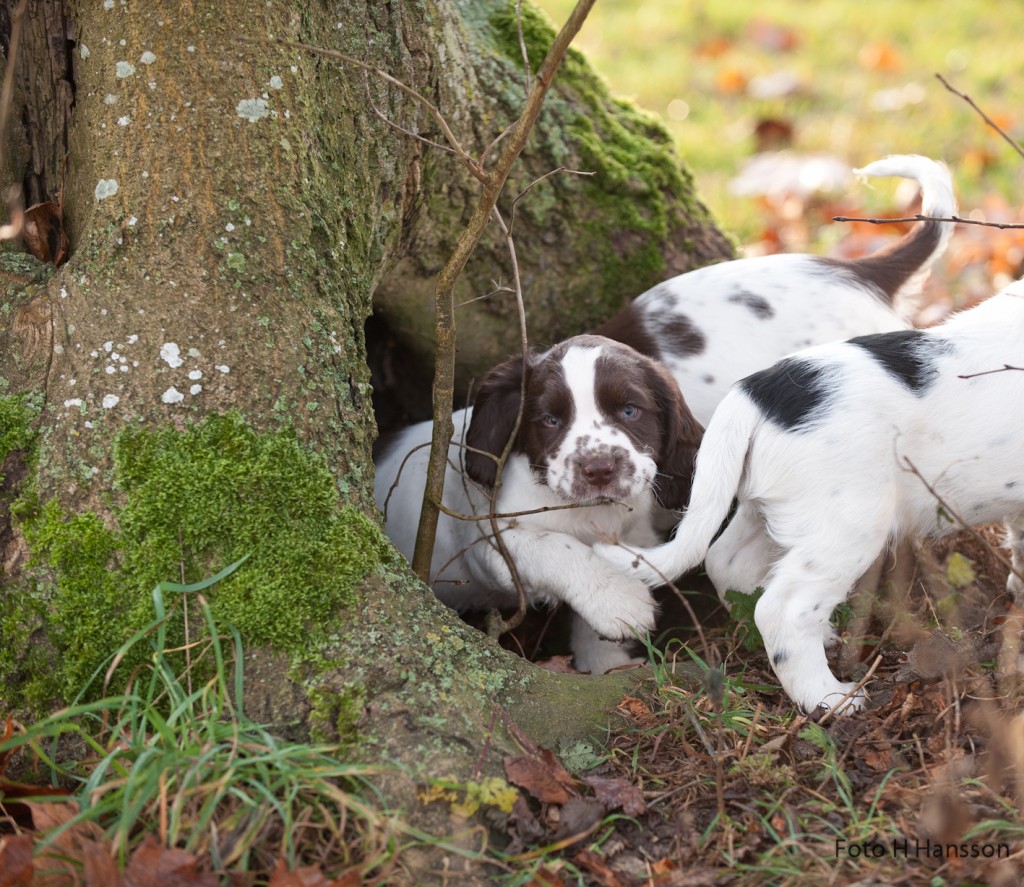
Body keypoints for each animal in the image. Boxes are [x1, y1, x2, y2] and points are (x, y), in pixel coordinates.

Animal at [598, 282, 1024, 712]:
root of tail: (753, 394)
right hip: (847, 525)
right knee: (783, 610)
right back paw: (829, 699)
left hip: (769, 509)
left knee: (727, 563)